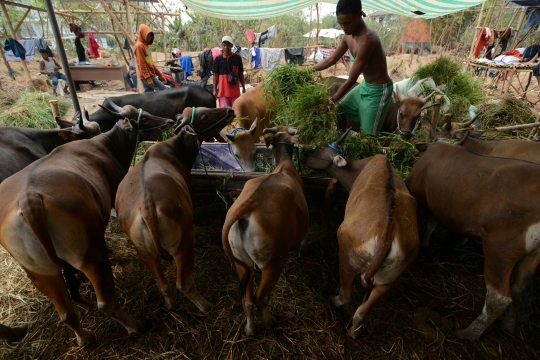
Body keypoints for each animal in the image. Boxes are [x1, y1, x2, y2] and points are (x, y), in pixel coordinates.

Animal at [0, 100, 174, 346]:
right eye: (146, 118)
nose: (169, 121)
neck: (104, 146)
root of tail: (29, 200)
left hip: (39, 272)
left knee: (66, 313)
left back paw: (83, 337)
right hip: (89, 254)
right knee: (106, 301)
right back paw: (136, 325)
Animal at [115, 105, 235, 310]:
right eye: (205, 115)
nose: (229, 111)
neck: (174, 149)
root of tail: (147, 209)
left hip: (146, 254)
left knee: (163, 284)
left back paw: (170, 304)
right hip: (182, 245)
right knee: (184, 283)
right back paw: (206, 305)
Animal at [223, 126, 310, 334]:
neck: (285, 164)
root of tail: (248, 204)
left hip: (241, 262)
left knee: (247, 299)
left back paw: (250, 328)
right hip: (273, 262)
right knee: (261, 297)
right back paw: (270, 321)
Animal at [304, 129, 418, 338]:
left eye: (322, 147)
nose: (305, 154)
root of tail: (386, 235)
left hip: (348, 258)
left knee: (347, 296)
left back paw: (333, 299)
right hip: (390, 277)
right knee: (362, 310)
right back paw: (354, 331)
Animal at [404, 142, 540, 338]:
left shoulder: (420, 197)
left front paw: (423, 243)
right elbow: (432, 222)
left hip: (500, 250)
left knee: (497, 300)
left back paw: (468, 333)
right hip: (533, 254)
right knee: (518, 290)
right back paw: (508, 325)